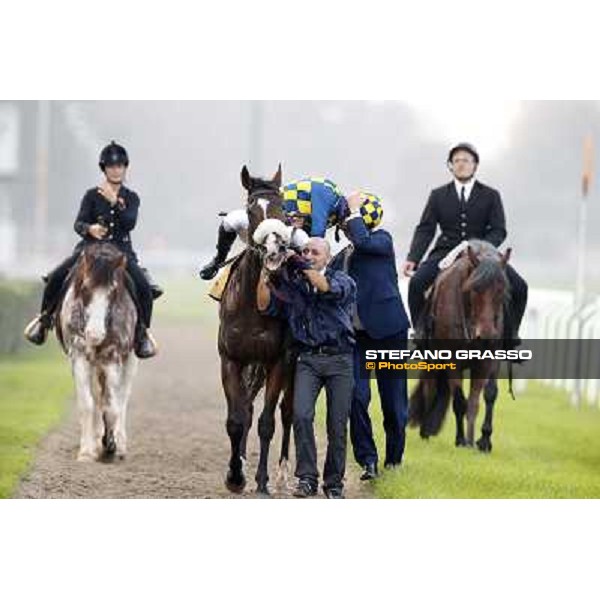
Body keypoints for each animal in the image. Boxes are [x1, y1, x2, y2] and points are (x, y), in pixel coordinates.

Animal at [56, 241, 138, 462]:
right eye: (85, 288)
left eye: (114, 291)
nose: (95, 334)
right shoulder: (79, 357)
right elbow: (87, 404)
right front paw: (87, 451)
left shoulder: (113, 358)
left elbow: (112, 407)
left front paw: (111, 445)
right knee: (97, 397)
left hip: (129, 361)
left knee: (122, 398)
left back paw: (120, 443)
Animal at [408, 239, 510, 450]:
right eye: (474, 289)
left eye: (501, 290)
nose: (486, 335)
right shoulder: (452, 362)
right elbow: (459, 401)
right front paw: (461, 440)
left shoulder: (485, 363)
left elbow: (477, 402)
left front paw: (476, 441)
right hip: (432, 361)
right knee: (429, 388)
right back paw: (425, 431)